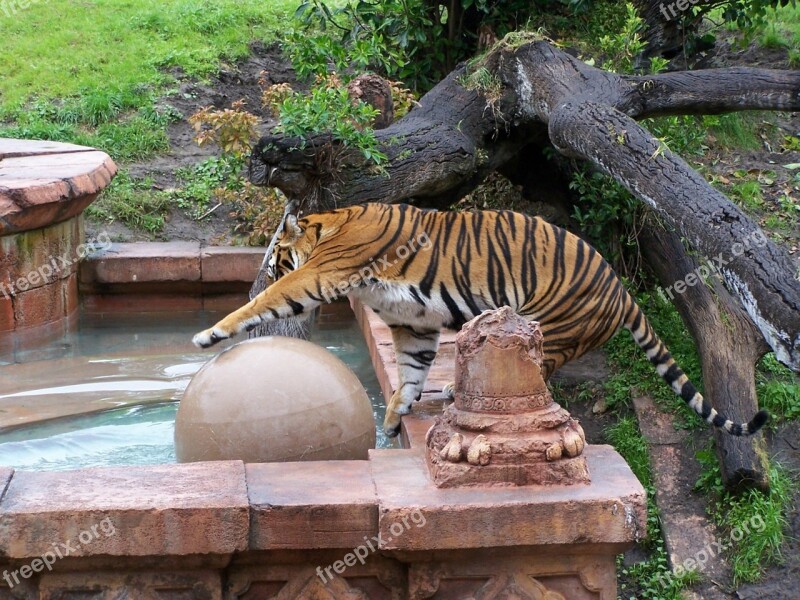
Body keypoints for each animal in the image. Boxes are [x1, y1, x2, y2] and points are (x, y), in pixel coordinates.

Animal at [194, 204, 768, 438]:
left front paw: (210, 333)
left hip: (542, 330)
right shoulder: (414, 325)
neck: (331, 227)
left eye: (273, 258)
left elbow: (267, 302)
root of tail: (622, 291)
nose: (255, 275)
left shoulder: (319, 274)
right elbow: (409, 376)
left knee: (533, 382)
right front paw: (392, 425)